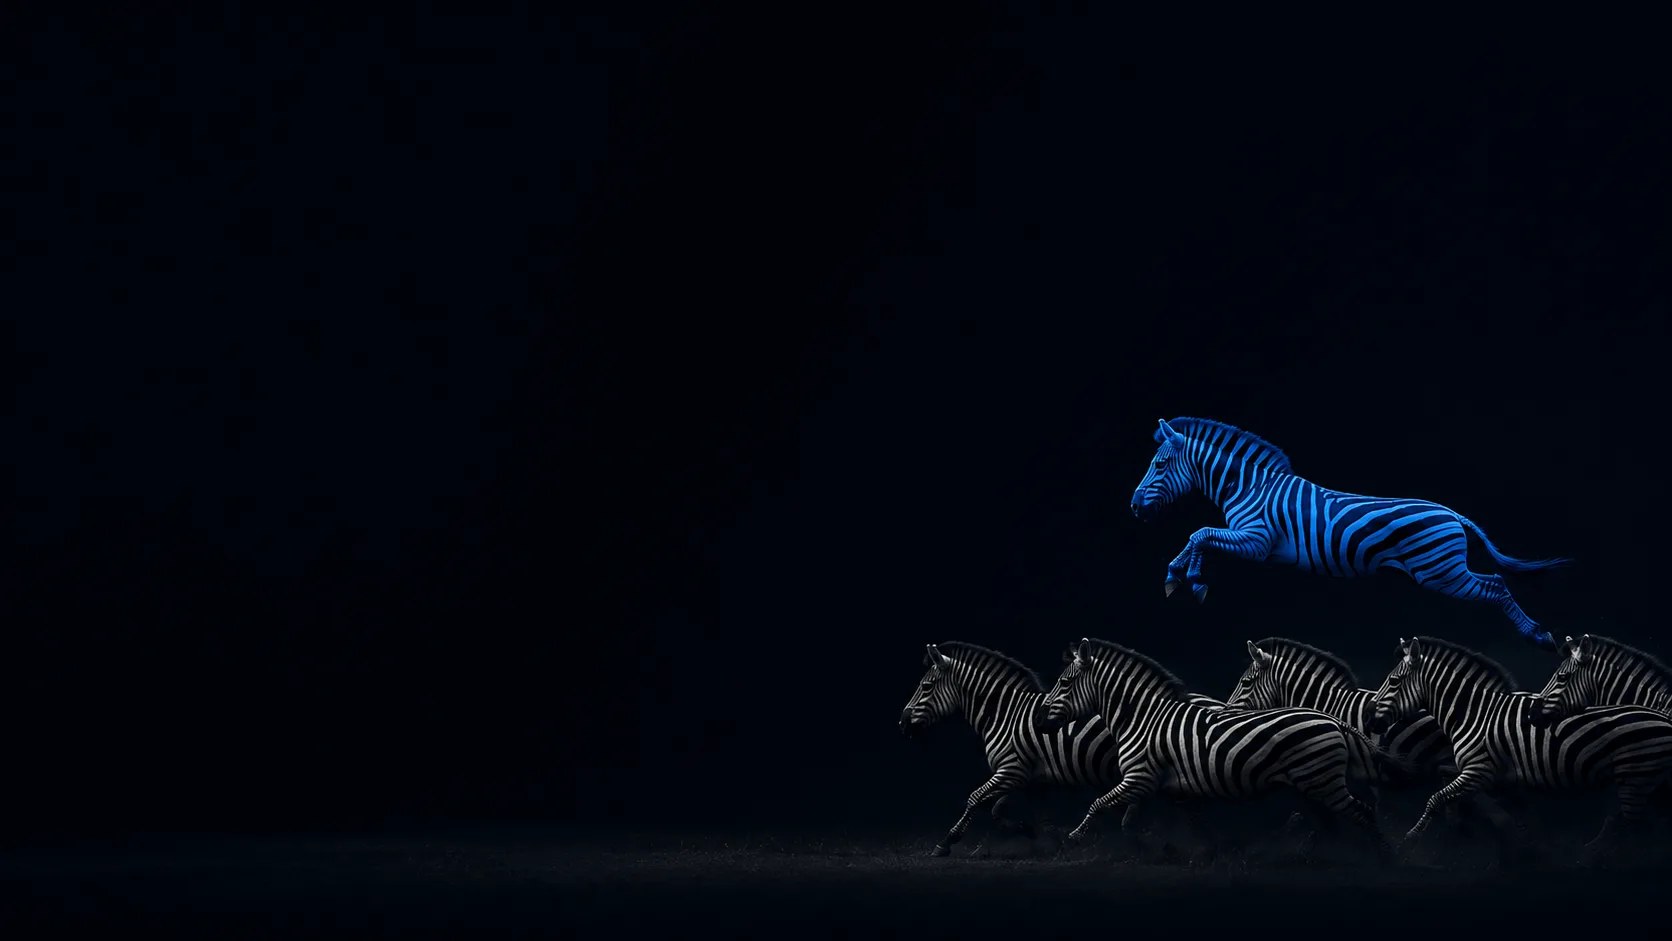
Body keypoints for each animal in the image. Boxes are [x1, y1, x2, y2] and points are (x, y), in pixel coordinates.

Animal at [899, 641, 1214, 857]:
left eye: (925, 687)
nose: (902, 723)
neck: (1005, 713)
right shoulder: (1024, 777)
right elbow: (1003, 812)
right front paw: (1031, 831)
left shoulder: (1010, 770)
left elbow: (976, 799)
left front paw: (946, 842)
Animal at [1037, 636, 1392, 859]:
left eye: (1064, 683)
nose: (1040, 720)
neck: (1142, 718)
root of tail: (1332, 719)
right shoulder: (1172, 788)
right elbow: (1190, 823)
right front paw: (1206, 853)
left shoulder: (1139, 779)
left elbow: (1097, 804)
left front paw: (1071, 842)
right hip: (1314, 784)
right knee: (1335, 821)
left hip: (1322, 783)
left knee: (1361, 813)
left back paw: (1381, 860)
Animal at [1130, 417, 1571, 650]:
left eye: (1159, 465)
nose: (1134, 507)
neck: (1247, 486)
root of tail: (1452, 513)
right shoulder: (1252, 541)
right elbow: (1197, 536)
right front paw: (1177, 576)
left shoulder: (1257, 540)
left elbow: (1199, 533)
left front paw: (1190, 579)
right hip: (1444, 572)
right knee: (1496, 581)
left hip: (1440, 573)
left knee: (1495, 585)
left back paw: (1539, 636)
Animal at [1372, 635, 1672, 863]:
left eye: (1394, 682)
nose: (1370, 720)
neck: (1475, 714)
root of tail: (1662, 719)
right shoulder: (1500, 778)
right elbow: (1516, 815)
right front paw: (1524, 848)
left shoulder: (1478, 771)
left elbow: (1436, 799)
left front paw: (1409, 842)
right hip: (1643, 781)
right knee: (1633, 824)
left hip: (1636, 778)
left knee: (1630, 826)